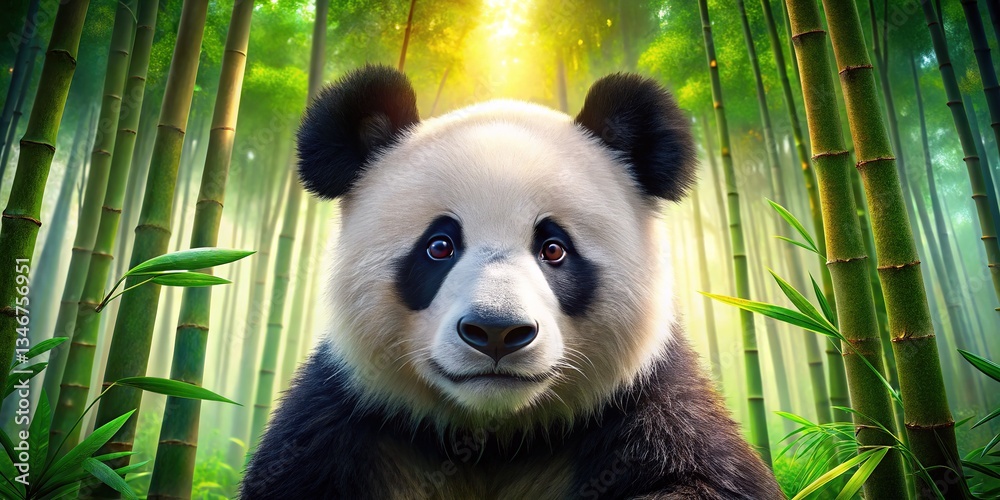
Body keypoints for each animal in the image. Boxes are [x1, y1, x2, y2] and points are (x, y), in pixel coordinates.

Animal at [241, 64, 781, 499]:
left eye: (554, 249)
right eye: (439, 246)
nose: (496, 331)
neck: (493, 436)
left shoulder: (650, 410)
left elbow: (703, 475)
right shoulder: (344, 423)